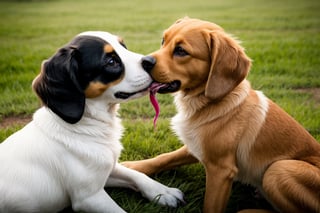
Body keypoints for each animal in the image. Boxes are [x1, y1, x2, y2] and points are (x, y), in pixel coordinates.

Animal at [0, 31, 182, 213]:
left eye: (123, 47)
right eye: (111, 62)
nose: (151, 61)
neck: (85, 128)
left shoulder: (106, 171)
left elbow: (136, 174)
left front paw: (163, 191)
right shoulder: (89, 197)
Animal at [123, 17, 320, 212]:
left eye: (181, 51)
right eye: (163, 41)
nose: (144, 61)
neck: (205, 102)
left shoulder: (221, 170)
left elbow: (210, 205)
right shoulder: (196, 146)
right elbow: (164, 157)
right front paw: (132, 167)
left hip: (277, 170)